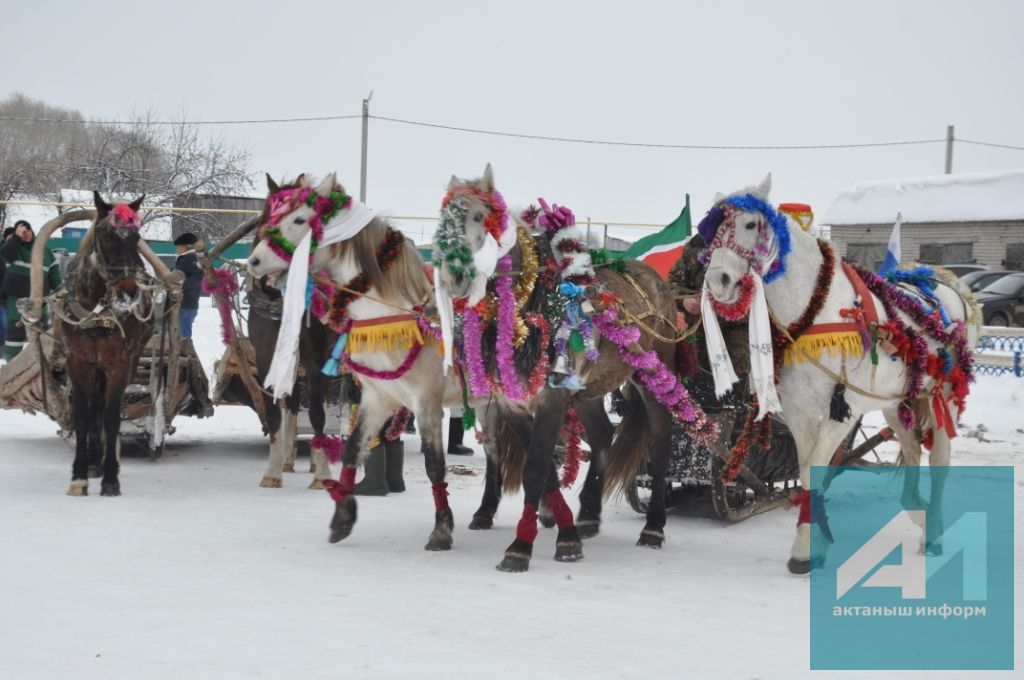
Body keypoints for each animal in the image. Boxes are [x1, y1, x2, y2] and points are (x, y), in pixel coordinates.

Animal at [700, 175, 978, 573]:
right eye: (711, 232)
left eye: (751, 224)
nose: (717, 281)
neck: (816, 311)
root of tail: (950, 289)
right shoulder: (799, 414)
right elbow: (805, 474)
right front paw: (813, 541)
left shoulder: (840, 414)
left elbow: (817, 467)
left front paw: (805, 551)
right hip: (896, 404)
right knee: (911, 450)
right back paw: (919, 512)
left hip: (944, 397)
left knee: (940, 458)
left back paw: (934, 532)